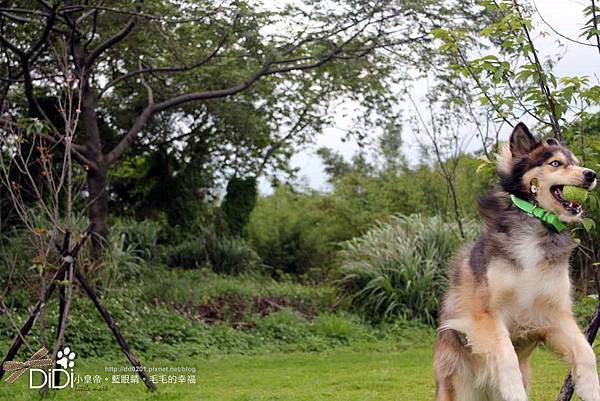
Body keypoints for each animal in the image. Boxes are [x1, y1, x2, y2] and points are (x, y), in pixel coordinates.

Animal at [436, 122, 600, 400]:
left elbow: (586, 353)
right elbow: (506, 358)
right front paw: (513, 390)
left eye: (576, 163)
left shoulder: (553, 316)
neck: (535, 224)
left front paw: (590, 388)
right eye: (556, 163)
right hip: (458, 384)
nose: (591, 174)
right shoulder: (487, 316)